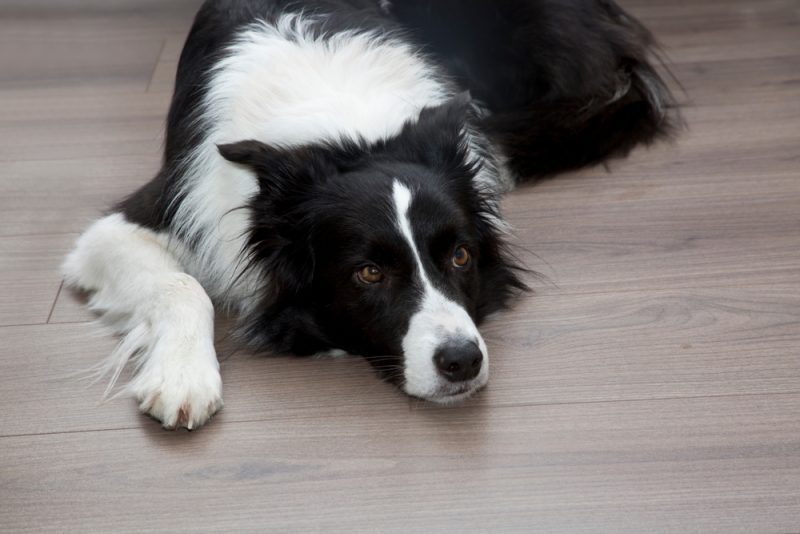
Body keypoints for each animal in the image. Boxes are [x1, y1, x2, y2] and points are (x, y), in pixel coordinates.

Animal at [62, 0, 680, 430]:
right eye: (369, 273)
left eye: (461, 255)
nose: (462, 361)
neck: (348, 137)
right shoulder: (136, 220)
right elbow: (183, 284)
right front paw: (182, 377)